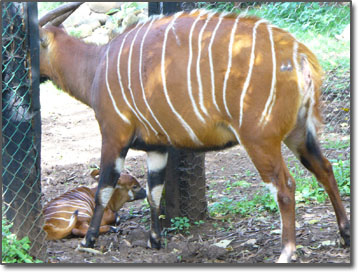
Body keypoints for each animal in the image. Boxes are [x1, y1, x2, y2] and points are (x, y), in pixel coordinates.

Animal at [39, 2, 350, 262]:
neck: (96, 65)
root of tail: (300, 56)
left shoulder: (114, 136)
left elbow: (103, 189)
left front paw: (88, 241)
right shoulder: (156, 146)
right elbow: (154, 191)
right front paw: (154, 240)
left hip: (260, 140)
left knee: (285, 186)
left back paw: (286, 253)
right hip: (299, 133)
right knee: (325, 168)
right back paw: (345, 235)